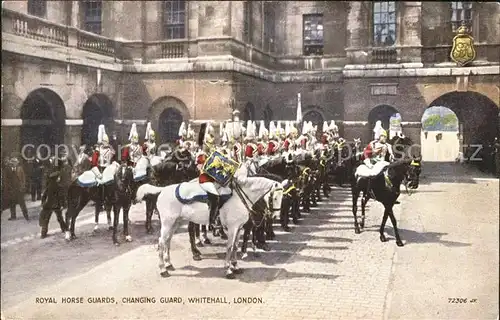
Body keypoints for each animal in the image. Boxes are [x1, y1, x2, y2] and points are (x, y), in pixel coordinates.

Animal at [137, 166, 284, 278]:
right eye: (274, 197)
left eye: (283, 196)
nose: (275, 215)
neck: (239, 197)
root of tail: (163, 189)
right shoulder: (232, 228)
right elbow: (229, 247)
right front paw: (228, 269)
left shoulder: (239, 228)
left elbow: (235, 247)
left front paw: (235, 266)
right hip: (168, 223)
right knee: (161, 242)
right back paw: (163, 269)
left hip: (175, 223)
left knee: (167, 241)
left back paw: (168, 264)